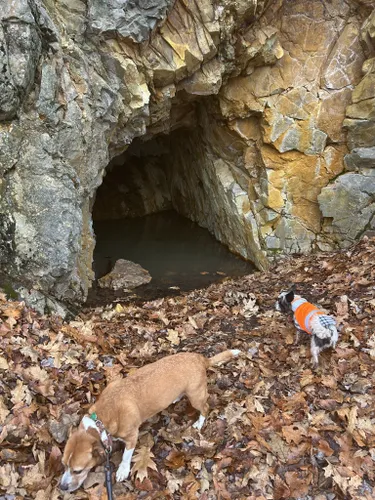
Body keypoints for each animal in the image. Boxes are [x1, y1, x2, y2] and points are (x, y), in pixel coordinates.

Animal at [59, 348, 241, 492]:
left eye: (77, 470)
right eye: (64, 465)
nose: (62, 487)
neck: (102, 418)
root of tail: (200, 359)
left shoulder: (132, 437)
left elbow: (125, 457)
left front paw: (122, 470)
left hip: (196, 396)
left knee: (205, 408)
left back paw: (199, 422)